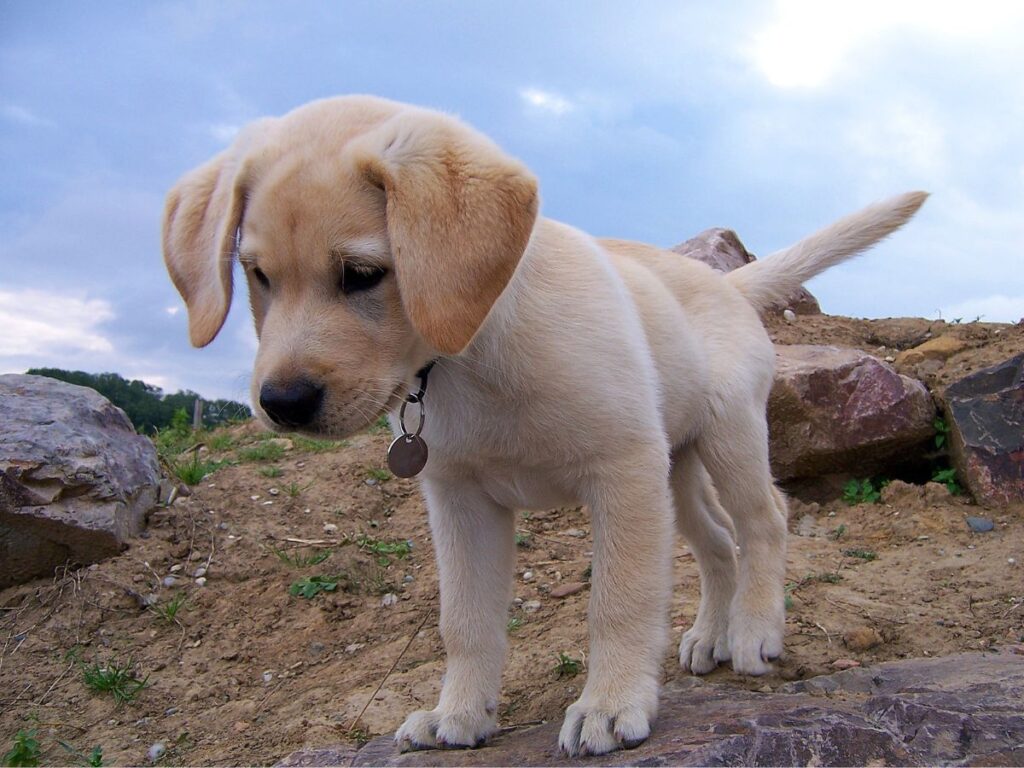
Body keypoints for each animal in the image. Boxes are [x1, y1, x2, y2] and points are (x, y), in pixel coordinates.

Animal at [161, 94, 929, 757]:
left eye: (362, 274)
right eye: (257, 274)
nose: (283, 402)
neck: (471, 352)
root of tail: (722, 281)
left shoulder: (621, 473)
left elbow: (619, 601)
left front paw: (611, 704)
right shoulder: (460, 500)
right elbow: (465, 621)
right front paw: (458, 713)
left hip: (726, 436)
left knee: (765, 518)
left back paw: (754, 631)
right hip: (674, 469)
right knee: (716, 544)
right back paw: (711, 635)